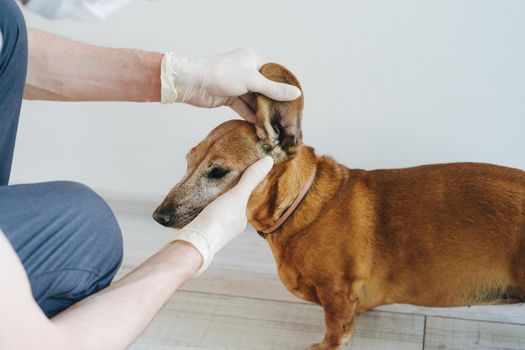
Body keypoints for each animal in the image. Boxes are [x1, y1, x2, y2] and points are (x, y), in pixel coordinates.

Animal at [154, 63, 524, 350]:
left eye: (218, 172)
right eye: (187, 162)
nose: (160, 216)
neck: (303, 207)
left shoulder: (337, 293)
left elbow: (335, 329)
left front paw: (325, 344)